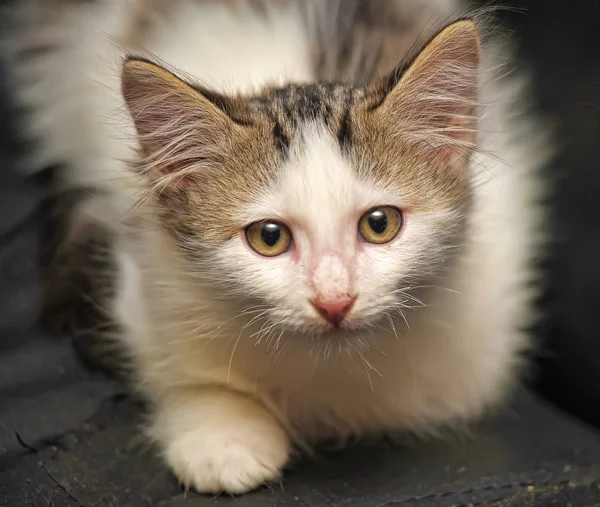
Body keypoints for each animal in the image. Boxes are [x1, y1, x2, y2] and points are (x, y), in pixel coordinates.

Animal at [4, 0, 552, 496]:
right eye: (269, 237)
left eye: (380, 224)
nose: (335, 300)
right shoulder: (145, 279)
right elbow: (173, 366)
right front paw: (223, 438)